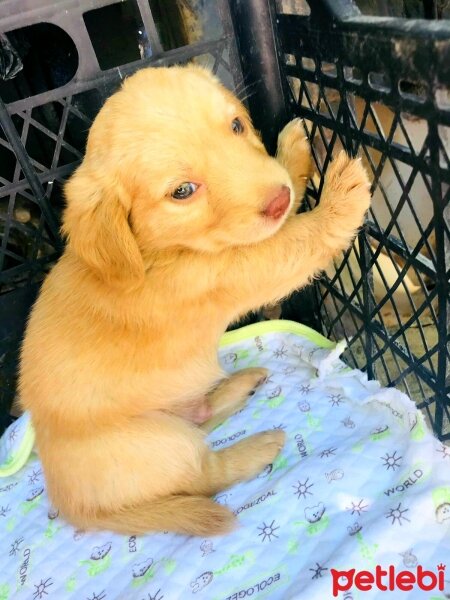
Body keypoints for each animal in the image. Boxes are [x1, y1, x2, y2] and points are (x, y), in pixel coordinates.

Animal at [18, 64, 370, 536]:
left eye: (237, 126)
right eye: (183, 191)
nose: (277, 200)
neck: (152, 252)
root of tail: (72, 506)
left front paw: (293, 150)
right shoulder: (245, 266)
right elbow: (305, 235)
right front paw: (342, 193)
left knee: (203, 418)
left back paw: (241, 383)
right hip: (159, 443)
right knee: (207, 475)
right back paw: (260, 446)